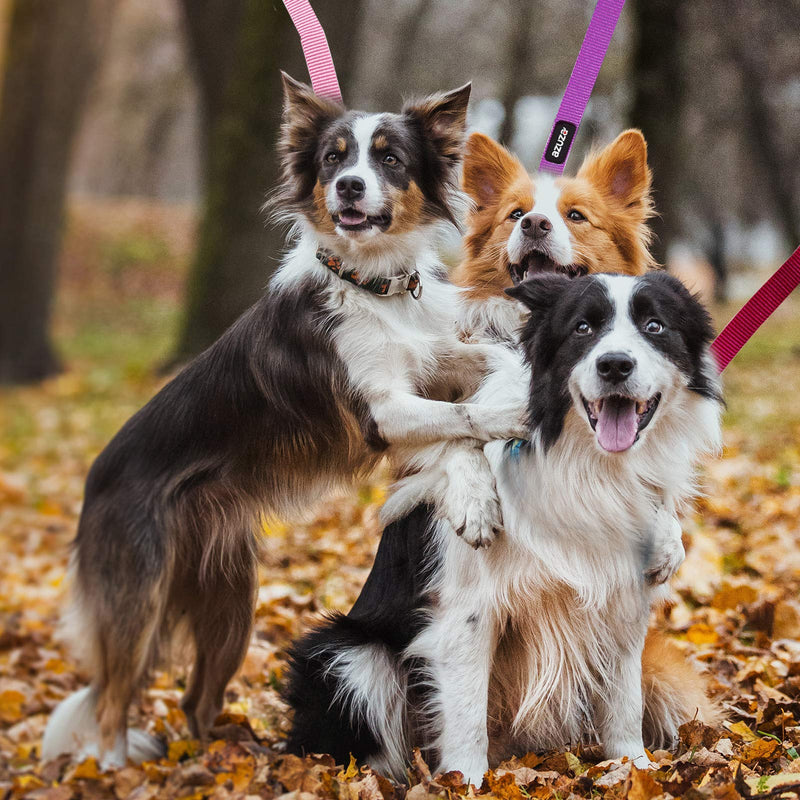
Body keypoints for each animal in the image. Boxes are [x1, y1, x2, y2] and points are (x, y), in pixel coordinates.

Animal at [45, 76, 532, 768]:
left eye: (389, 159)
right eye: (332, 159)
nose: (348, 187)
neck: (372, 284)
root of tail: (94, 479)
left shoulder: (432, 364)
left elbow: (475, 378)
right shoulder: (377, 412)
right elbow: (460, 423)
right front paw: (487, 469)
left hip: (230, 605)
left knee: (196, 699)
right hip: (137, 595)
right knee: (112, 703)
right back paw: (116, 767)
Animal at [284, 270, 720, 780]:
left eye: (655, 326)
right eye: (582, 328)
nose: (614, 365)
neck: (584, 465)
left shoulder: (623, 598)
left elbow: (623, 700)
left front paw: (633, 768)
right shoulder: (468, 608)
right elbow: (467, 711)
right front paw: (466, 783)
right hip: (348, 655)